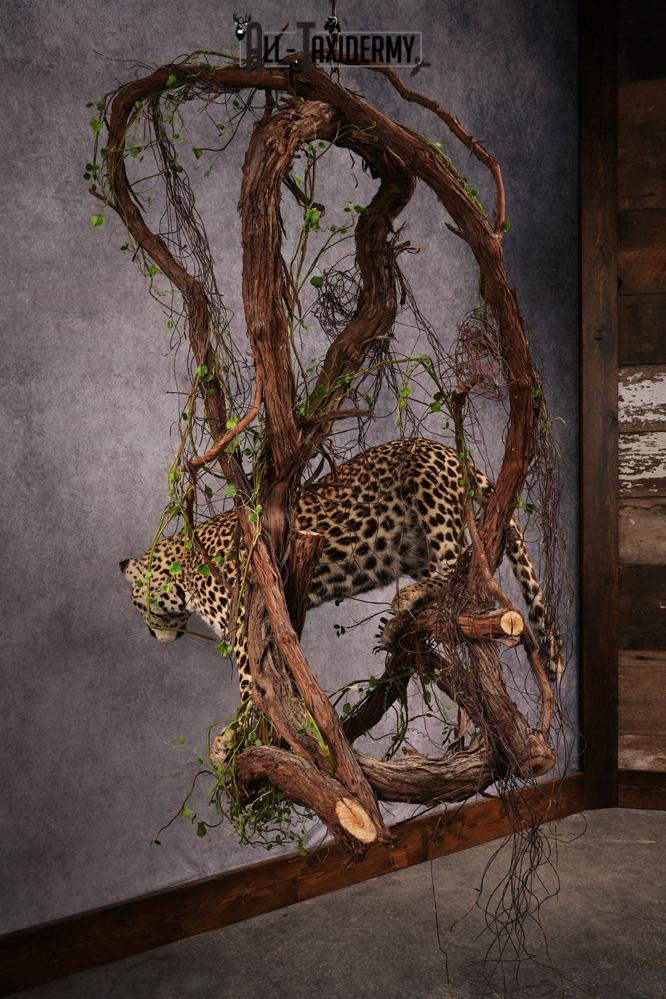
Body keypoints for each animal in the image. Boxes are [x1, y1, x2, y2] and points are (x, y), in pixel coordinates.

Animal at [120, 438, 564, 705]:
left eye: (136, 606)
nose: (150, 635)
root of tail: (448, 449)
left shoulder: (243, 619)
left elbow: (252, 682)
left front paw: (239, 739)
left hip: (429, 493)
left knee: (456, 569)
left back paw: (405, 600)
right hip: (414, 544)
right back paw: (397, 621)